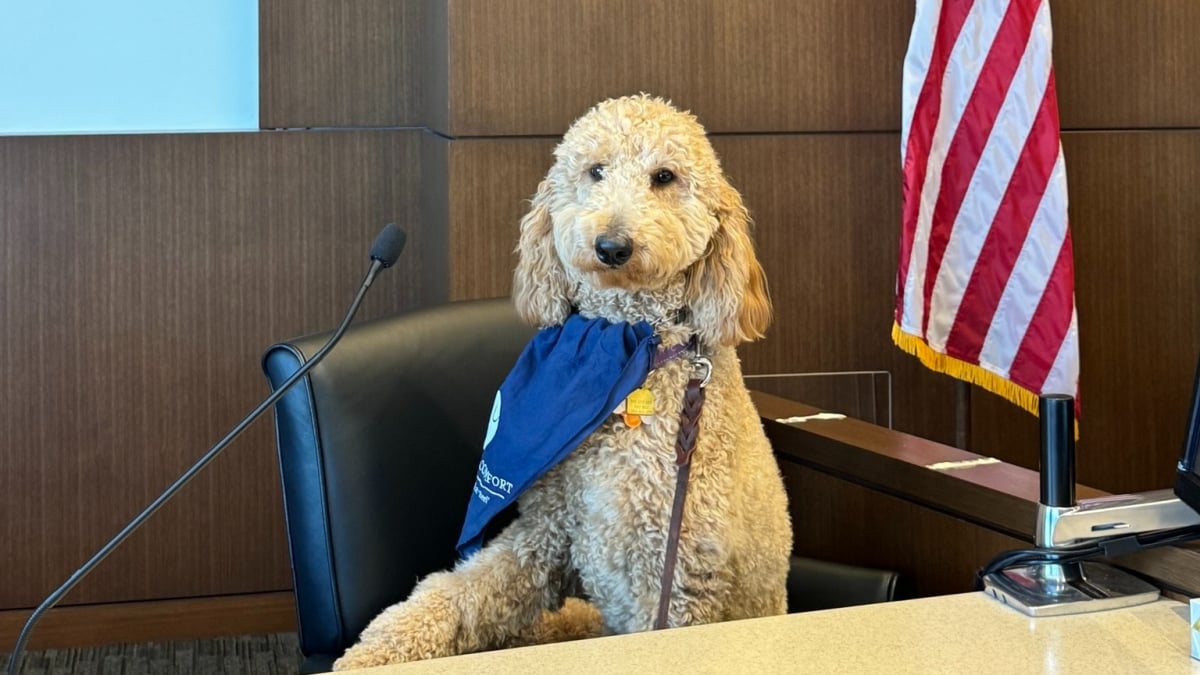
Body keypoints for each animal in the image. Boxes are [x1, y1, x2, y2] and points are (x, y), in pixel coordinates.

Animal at [333, 94, 792, 667]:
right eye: (595, 171)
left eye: (664, 177)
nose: (612, 245)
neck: (626, 348)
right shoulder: (545, 537)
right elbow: (454, 593)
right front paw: (374, 652)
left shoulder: (671, 580)